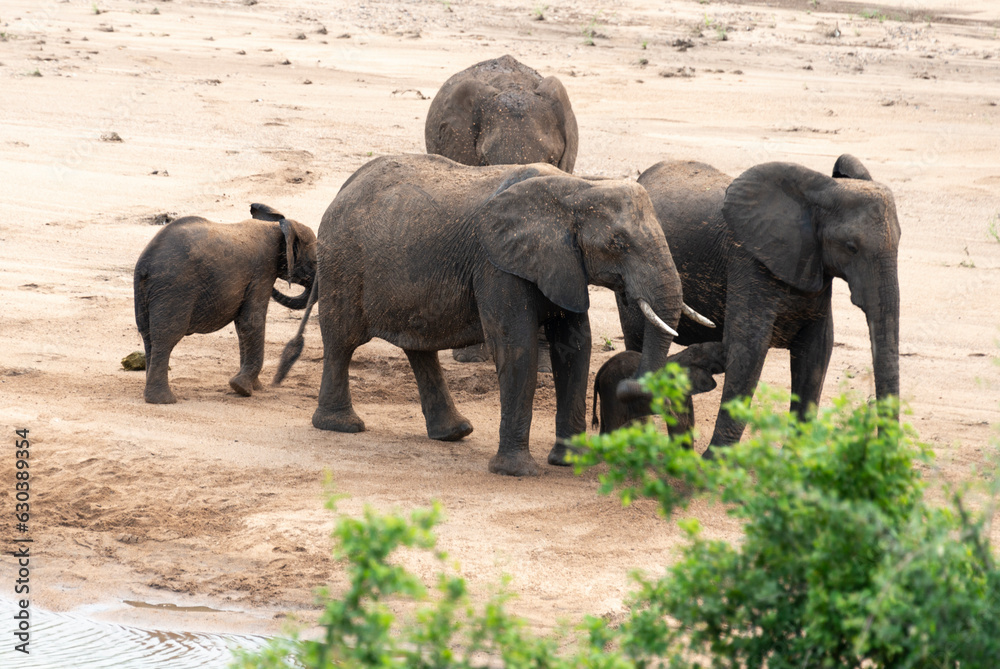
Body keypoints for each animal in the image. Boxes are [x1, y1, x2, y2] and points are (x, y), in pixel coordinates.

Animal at [133, 203, 317, 404]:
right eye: (315, 261)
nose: (277, 381)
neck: (278, 227)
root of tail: (146, 263)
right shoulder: (262, 271)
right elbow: (251, 321)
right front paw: (242, 389)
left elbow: (242, 326)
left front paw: (254, 388)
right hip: (174, 288)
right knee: (166, 336)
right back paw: (163, 400)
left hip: (146, 291)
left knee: (148, 335)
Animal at [287, 153, 701, 477]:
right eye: (618, 243)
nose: (630, 389)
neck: (576, 189)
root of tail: (344, 186)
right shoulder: (497, 265)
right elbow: (517, 348)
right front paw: (517, 472)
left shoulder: (563, 264)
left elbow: (575, 348)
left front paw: (570, 462)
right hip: (343, 260)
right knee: (342, 340)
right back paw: (342, 426)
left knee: (417, 346)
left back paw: (453, 433)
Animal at [592, 342, 725, 436]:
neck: (683, 354)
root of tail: (602, 369)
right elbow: (679, 422)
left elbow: (689, 421)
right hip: (611, 388)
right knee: (613, 426)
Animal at [617, 155, 900, 458]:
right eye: (851, 247)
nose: (884, 454)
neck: (820, 193)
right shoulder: (748, 261)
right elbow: (748, 348)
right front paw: (715, 461)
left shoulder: (814, 268)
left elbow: (816, 351)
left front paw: (794, 457)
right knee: (636, 338)